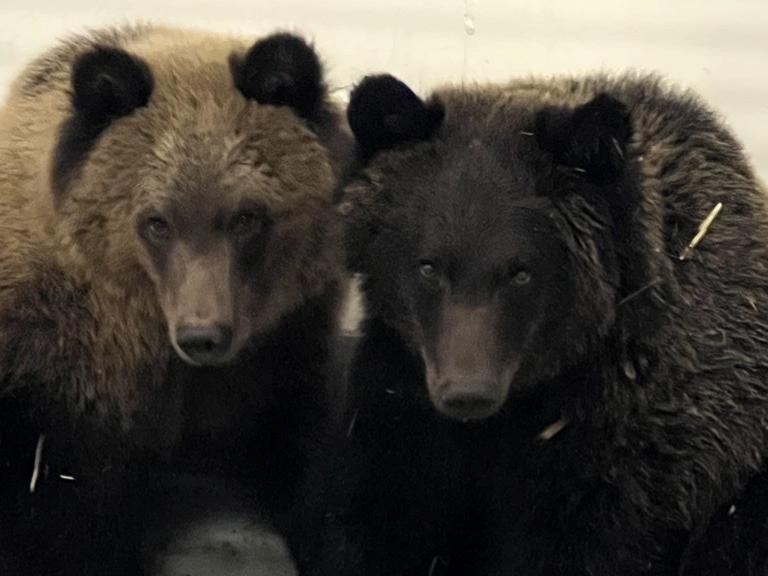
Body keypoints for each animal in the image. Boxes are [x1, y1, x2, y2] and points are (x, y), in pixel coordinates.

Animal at [0, 24, 347, 575]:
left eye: (246, 216)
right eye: (157, 221)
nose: (203, 335)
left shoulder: (279, 350)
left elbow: (306, 463)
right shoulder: (68, 385)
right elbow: (64, 519)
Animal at [289, 72, 768, 576]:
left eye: (521, 271)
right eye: (428, 266)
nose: (467, 391)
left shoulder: (620, 459)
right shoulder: (400, 400)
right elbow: (369, 517)